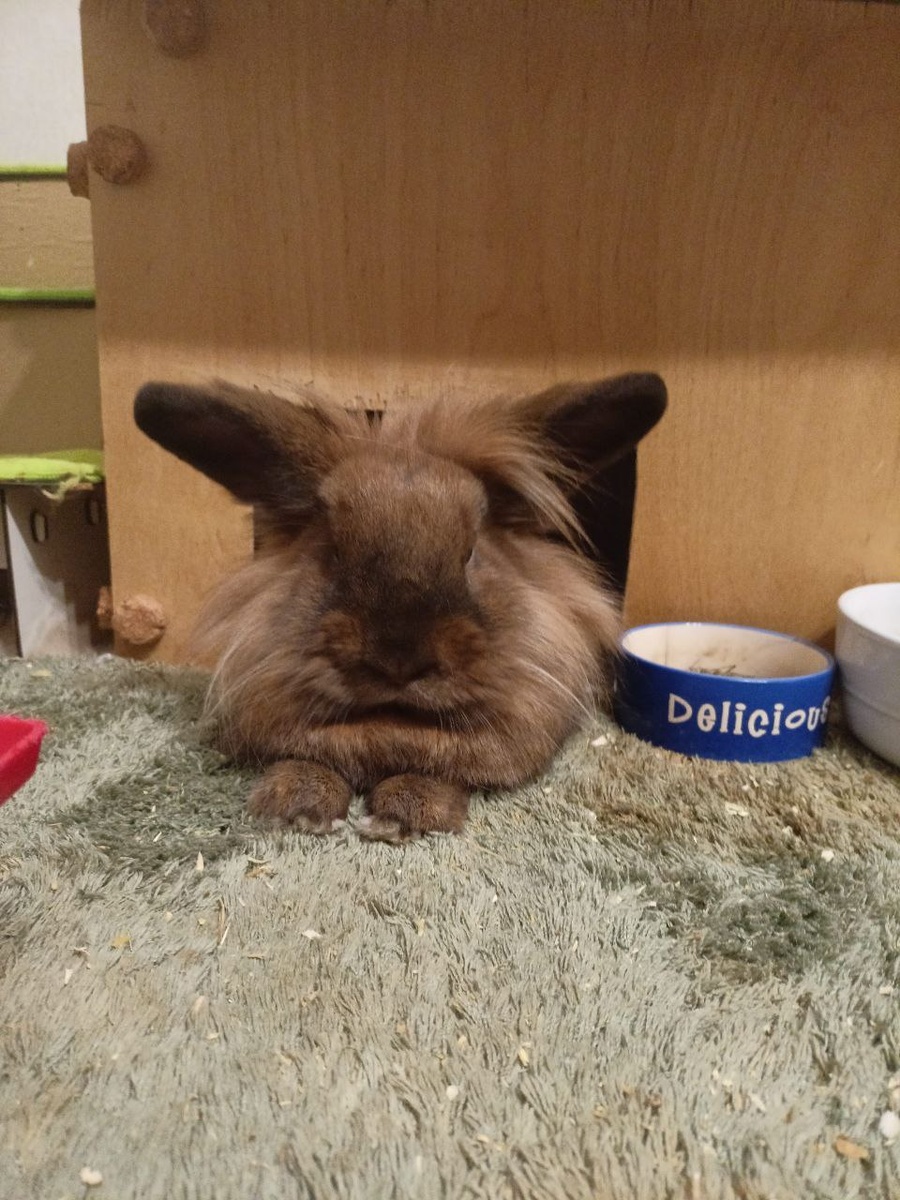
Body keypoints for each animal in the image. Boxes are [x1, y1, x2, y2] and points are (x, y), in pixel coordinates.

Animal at [134, 372, 666, 840]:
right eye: (330, 551)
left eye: (471, 552)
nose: (398, 660)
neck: (389, 727)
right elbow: (306, 758)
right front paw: (298, 808)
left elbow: (446, 770)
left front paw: (402, 818)